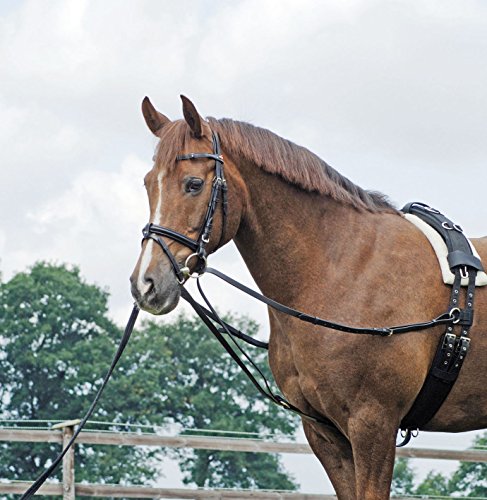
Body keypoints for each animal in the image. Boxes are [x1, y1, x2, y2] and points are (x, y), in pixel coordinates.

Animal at [131, 95, 487, 498]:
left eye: (193, 184)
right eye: (148, 184)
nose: (146, 283)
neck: (341, 269)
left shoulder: (373, 424)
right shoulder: (324, 432)